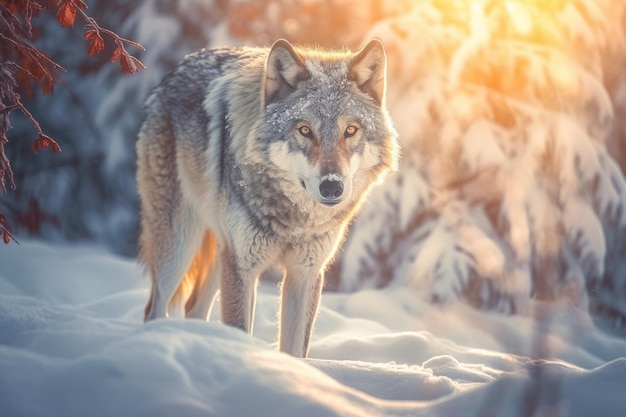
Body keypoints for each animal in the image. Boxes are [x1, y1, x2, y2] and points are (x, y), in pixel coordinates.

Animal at [138, 38, 400, 358]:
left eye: (350, 130)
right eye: (304, 130)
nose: (332, 187)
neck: (294, 221)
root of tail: (173, 73)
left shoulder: (305, 273)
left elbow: (295, 352)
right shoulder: (244, 268)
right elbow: (240, 332)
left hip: (219, 255)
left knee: (193, 310)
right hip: (180, 246)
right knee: (154, 310)